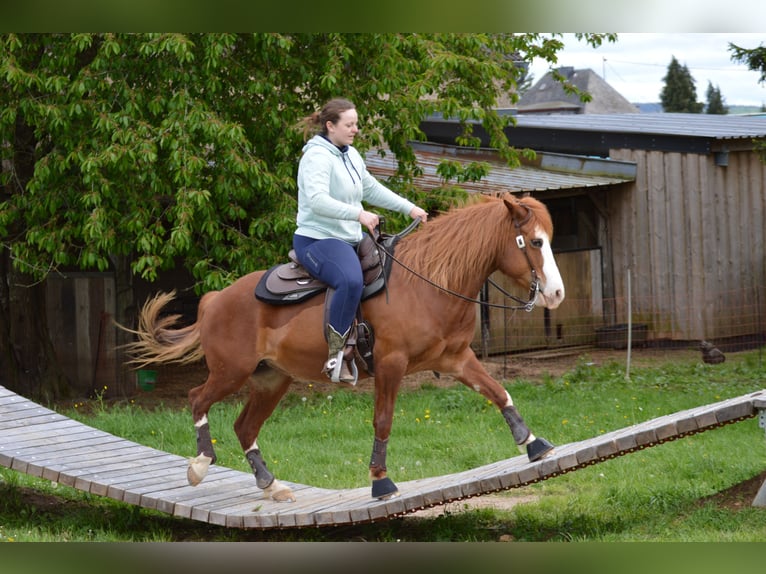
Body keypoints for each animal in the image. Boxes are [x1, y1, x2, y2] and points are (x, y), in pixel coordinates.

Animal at [125, 193, 565, 502]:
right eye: (535, 242)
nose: (557, 294)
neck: (427, 283)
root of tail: (215, 300)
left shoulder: (457, 359)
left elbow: (498, 392)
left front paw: (533, 444)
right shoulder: (390, 365)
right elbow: (383, 421)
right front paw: (381, 481)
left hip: (271, 380)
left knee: (244, 426)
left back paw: (271, 485)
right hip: (230, 372)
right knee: (197, 398)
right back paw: (200, 465)